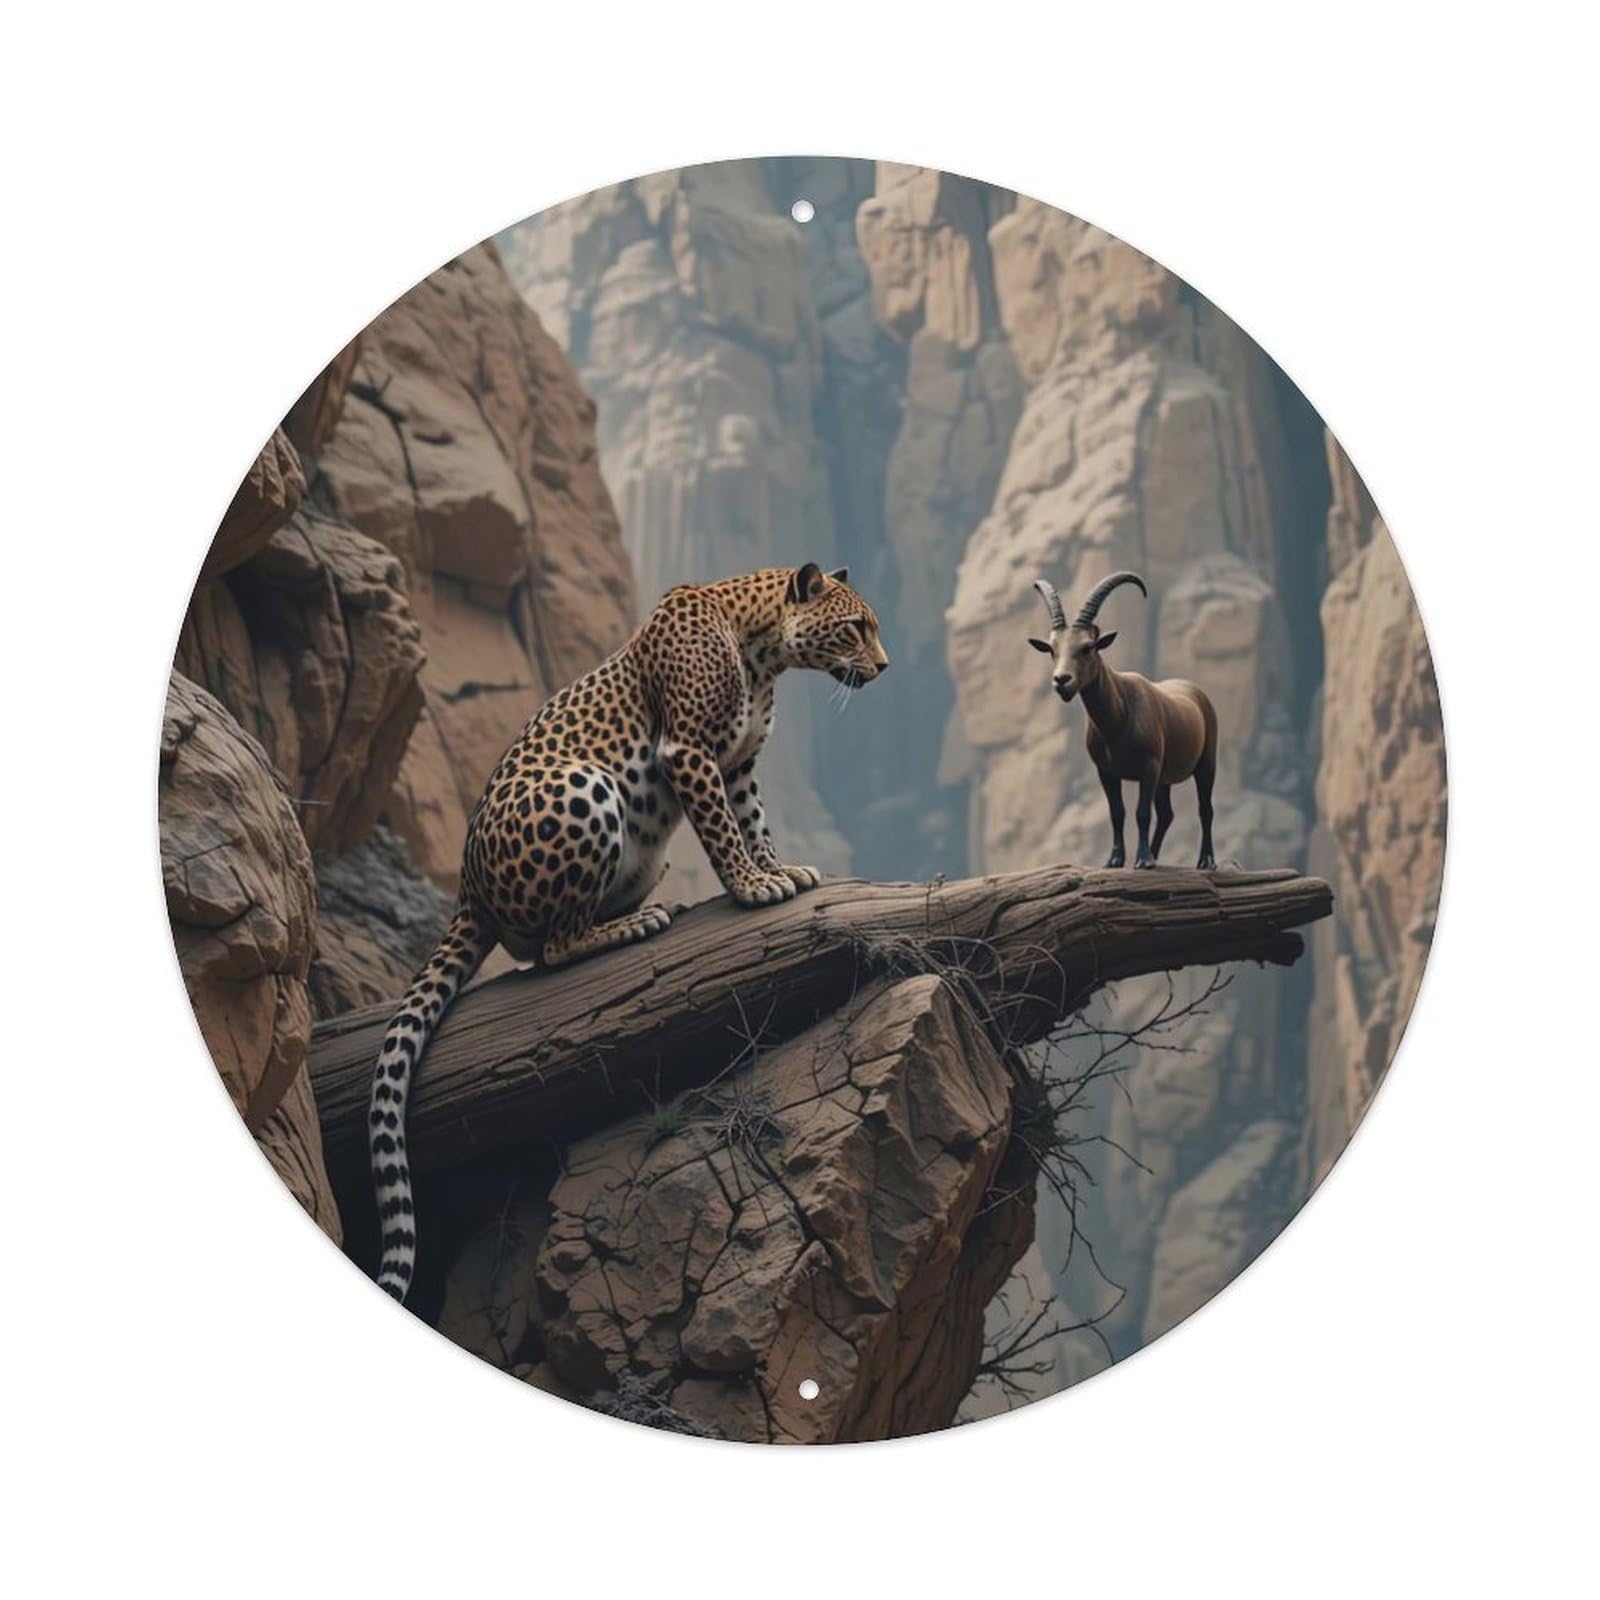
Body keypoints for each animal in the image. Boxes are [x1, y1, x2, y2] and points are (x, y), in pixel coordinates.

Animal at [369, 562, 890, 1301]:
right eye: (854, 627)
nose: (884, 665)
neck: (763, 652)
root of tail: (467, 890)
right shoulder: (688, 750)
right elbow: (723, 827)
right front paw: (751, 886)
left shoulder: (738, 763)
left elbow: (752, 819)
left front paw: (778, 868)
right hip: (585, 787)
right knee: (552, 947)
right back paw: (635, 923)